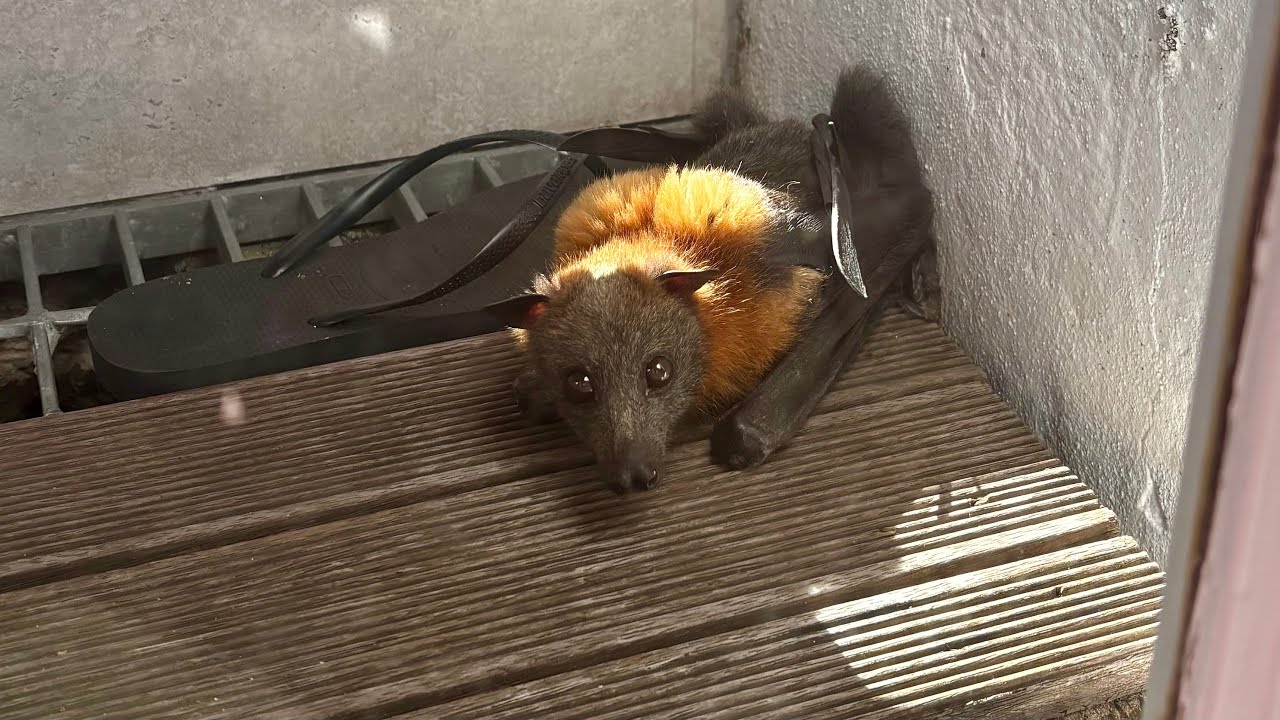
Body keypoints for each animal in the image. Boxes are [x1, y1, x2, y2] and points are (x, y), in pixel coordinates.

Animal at [486, 66, 937, 494]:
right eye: (578, 383)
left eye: (658, 371)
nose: (632, 474)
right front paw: (535, 392)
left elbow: (742, 436)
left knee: (916, 202)